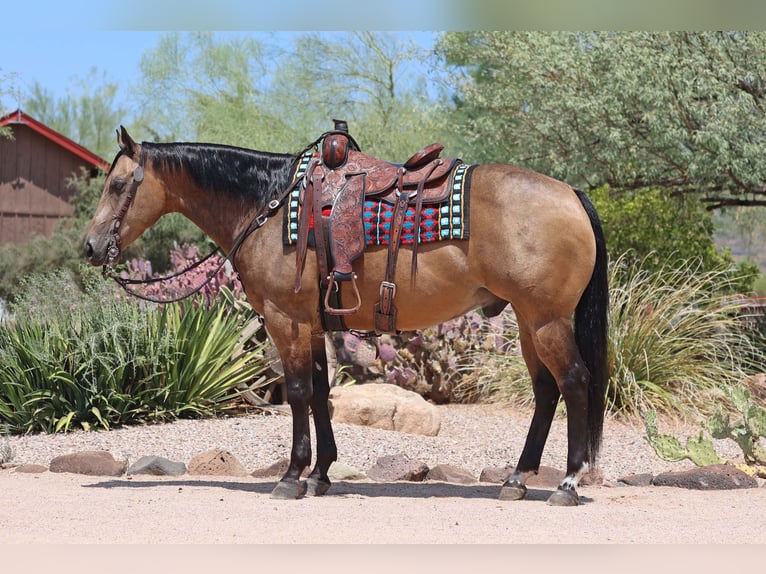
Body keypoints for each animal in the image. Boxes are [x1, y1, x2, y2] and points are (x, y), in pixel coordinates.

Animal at [82, 126, 612, 508]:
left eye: (117, 184)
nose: (89, 247)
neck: (267, 206)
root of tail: (571, 193)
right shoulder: (314, 326)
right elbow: (320, 393)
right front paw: (320, 475)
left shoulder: (287, 321)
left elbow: (297, 393)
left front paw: (292, 476)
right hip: (527, 320)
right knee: (545, 392)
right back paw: (517, 479)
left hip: (546, 320)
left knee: (574, 382)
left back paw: (567, 483)